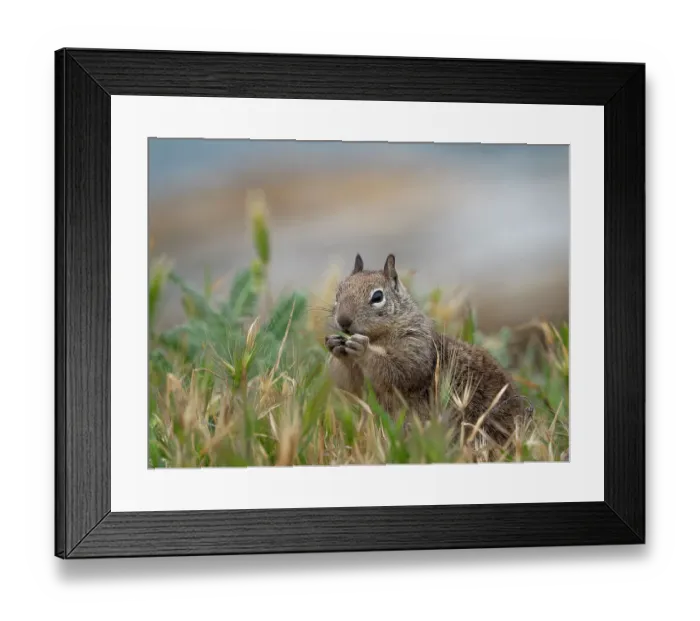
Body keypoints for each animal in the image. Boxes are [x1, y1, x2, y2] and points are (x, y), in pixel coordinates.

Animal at [324, 253, 531, 451]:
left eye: (377, 297)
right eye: (337, 293)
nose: (343, 320)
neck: (379, 337)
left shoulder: (417, 346)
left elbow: (399, 370)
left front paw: (363, 350)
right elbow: (352, 385)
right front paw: (335, 346)